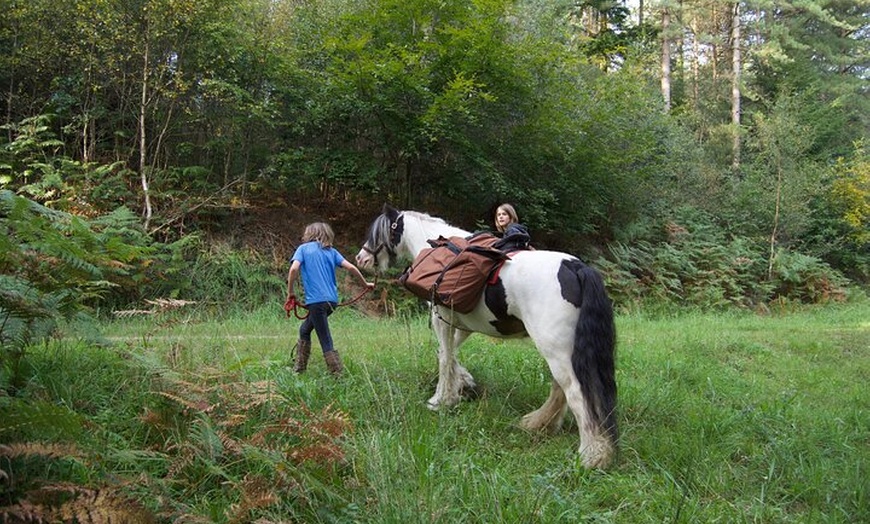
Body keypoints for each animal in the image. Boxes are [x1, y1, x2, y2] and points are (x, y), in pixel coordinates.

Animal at [355, 205, 618, 469]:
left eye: (378, 233)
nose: (361, 258)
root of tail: (575, 267)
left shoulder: (442, 320)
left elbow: (444, 358)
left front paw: (440, 399)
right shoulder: (462, 325)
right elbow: (449, 354)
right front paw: (462, 383)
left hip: (555, 349)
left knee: (574, 391)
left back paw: (591, 455)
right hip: (560, 349)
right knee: (560, 387)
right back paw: (540, 424)